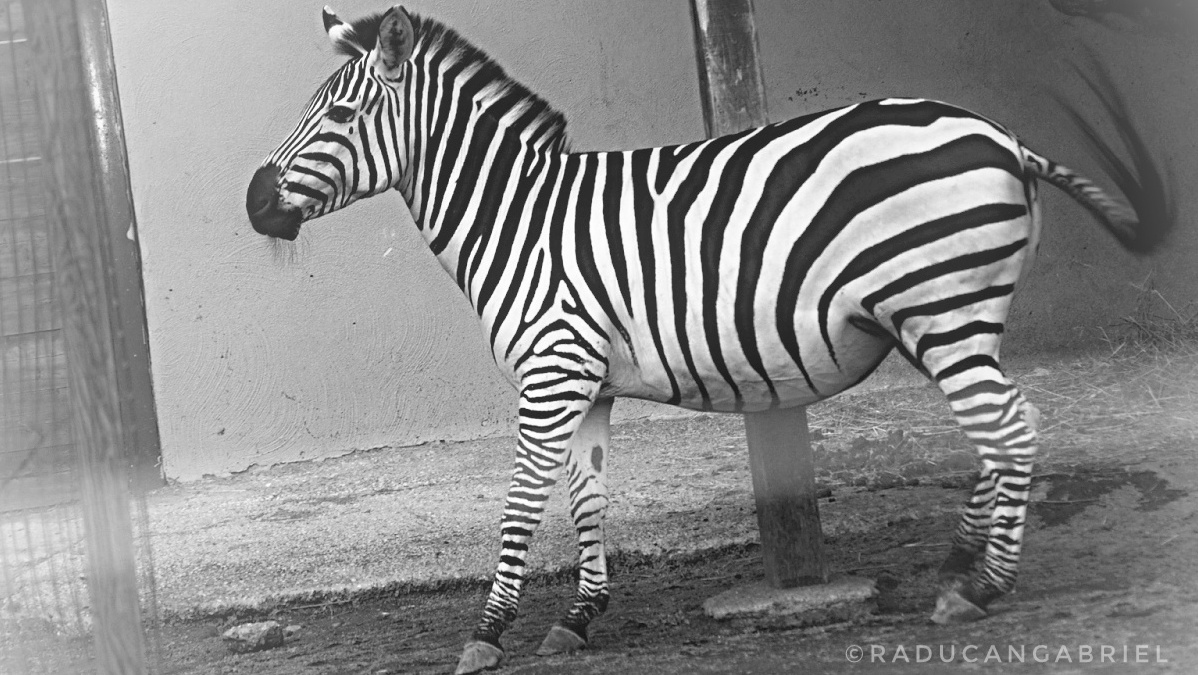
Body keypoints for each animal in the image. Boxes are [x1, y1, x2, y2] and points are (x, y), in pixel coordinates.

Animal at [244, 6, 1173, 674]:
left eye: (341, 112)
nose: (253, 201)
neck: (518, 218)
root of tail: (1003, 136)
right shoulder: (587, 380)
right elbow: (587, 496)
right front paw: (579, 617)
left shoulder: (550, 369)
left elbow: (521, 501)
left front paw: (487, 631)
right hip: (944, 317)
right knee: (997, 430)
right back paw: (957, 560)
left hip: (941, 307)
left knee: (1009, 427)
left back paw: (981, 585)